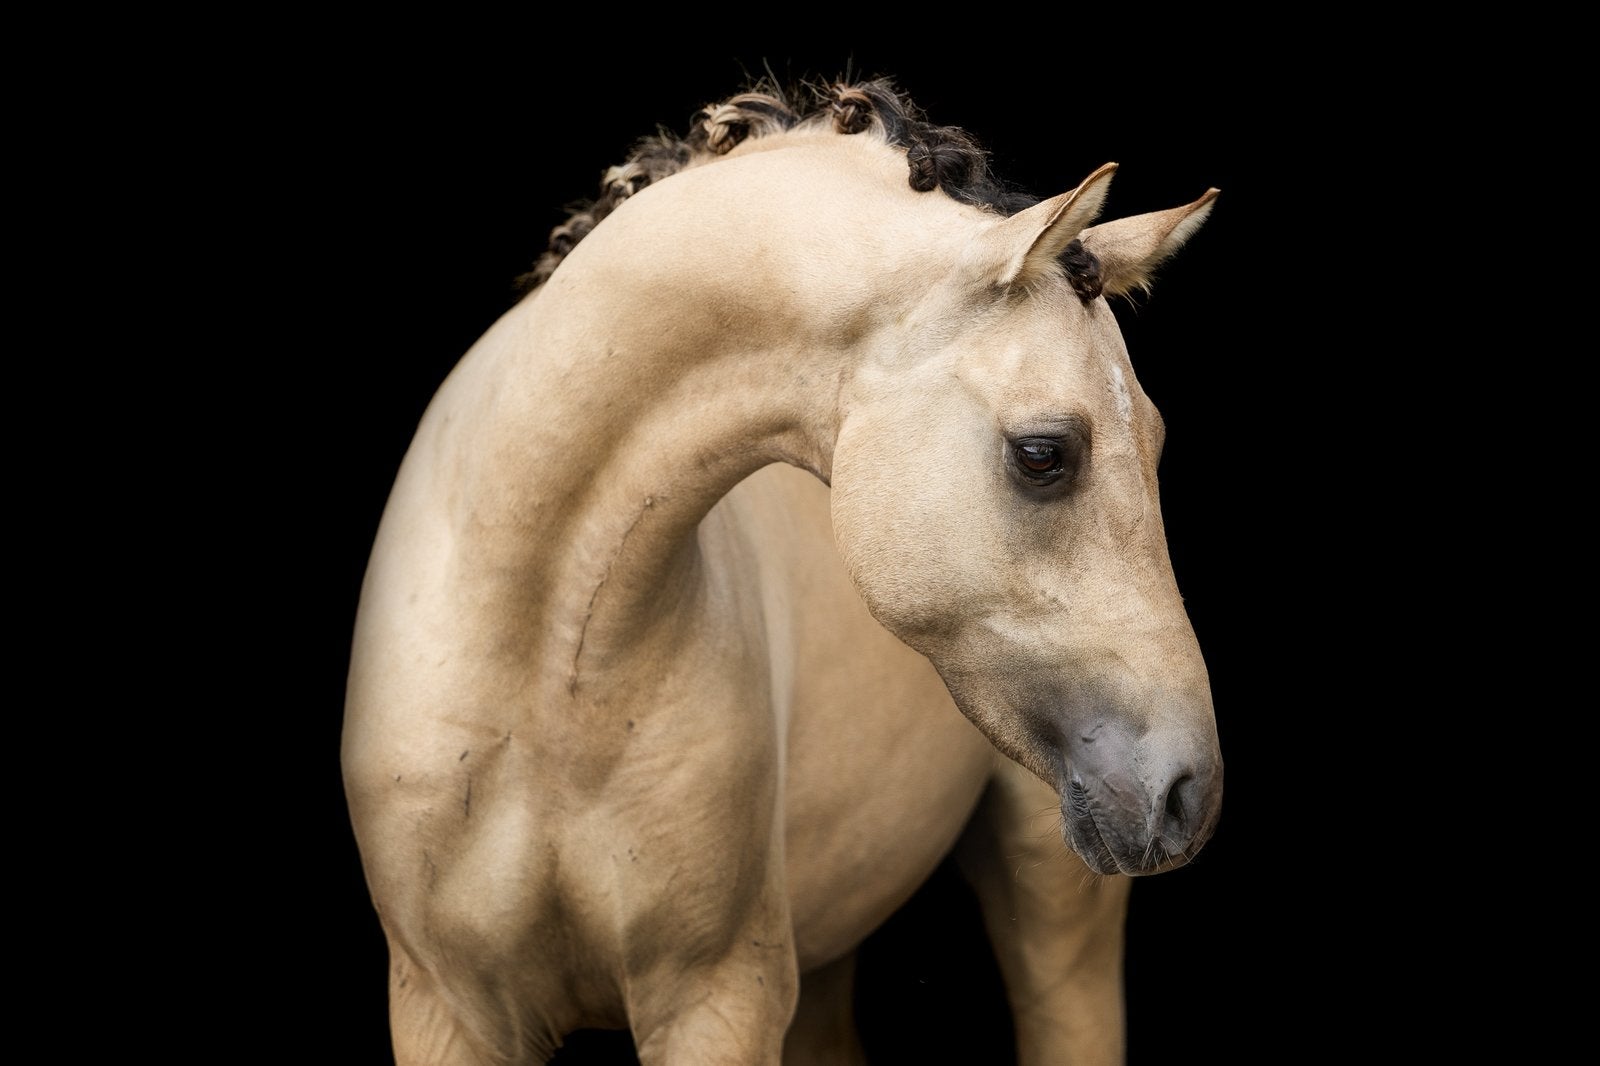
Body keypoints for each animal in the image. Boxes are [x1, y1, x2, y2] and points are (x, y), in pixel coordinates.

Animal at [342, 76, 1223, 1065]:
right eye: (1044, 455)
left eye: (1156, 442)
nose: (1189, 791)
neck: (539, 671)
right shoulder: (448, 1009)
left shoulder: (717, 1001)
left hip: (1055, 901)